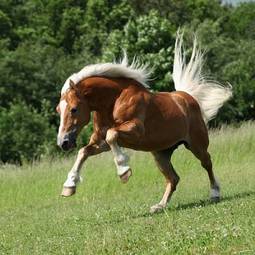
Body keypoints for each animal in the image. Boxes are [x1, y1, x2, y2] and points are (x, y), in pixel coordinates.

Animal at [56, 32, 232, 214]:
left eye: (74, 109)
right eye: (58, 110)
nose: (63, 142)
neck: (114, 101)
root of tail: (187, 97)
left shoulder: (135, 130)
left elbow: (112, 134)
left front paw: (124, 171)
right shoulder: (101, 143)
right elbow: (83, 152)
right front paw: (69, 186)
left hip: (197, 145)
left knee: (207, 163)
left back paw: (214, 193)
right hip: (160, 154)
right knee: (173, 178)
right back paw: (159, 206)